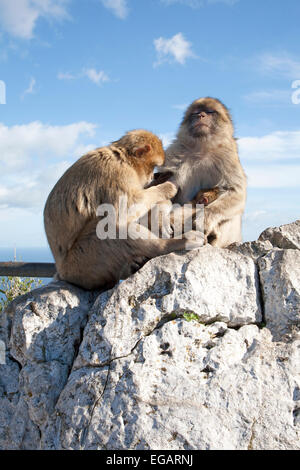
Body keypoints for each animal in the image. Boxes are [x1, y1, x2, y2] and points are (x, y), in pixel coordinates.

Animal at [43, 129, 203, 290]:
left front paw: (160, 208)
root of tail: (62, 273)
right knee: (110, 223)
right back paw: (170, 244)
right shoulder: (117, 173)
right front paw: (168, 188)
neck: (123, 158)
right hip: (83, 263)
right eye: (153, 166)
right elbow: (125, 210)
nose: (152, 175)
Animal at [154, 97, 247, 248]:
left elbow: (235, 192)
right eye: (196, 113)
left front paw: (203, 219)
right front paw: (161, 217)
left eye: (209, 112)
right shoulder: (175, 153)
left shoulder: (228, 156)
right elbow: (167, 186)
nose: (201, 116)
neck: (202, 148)